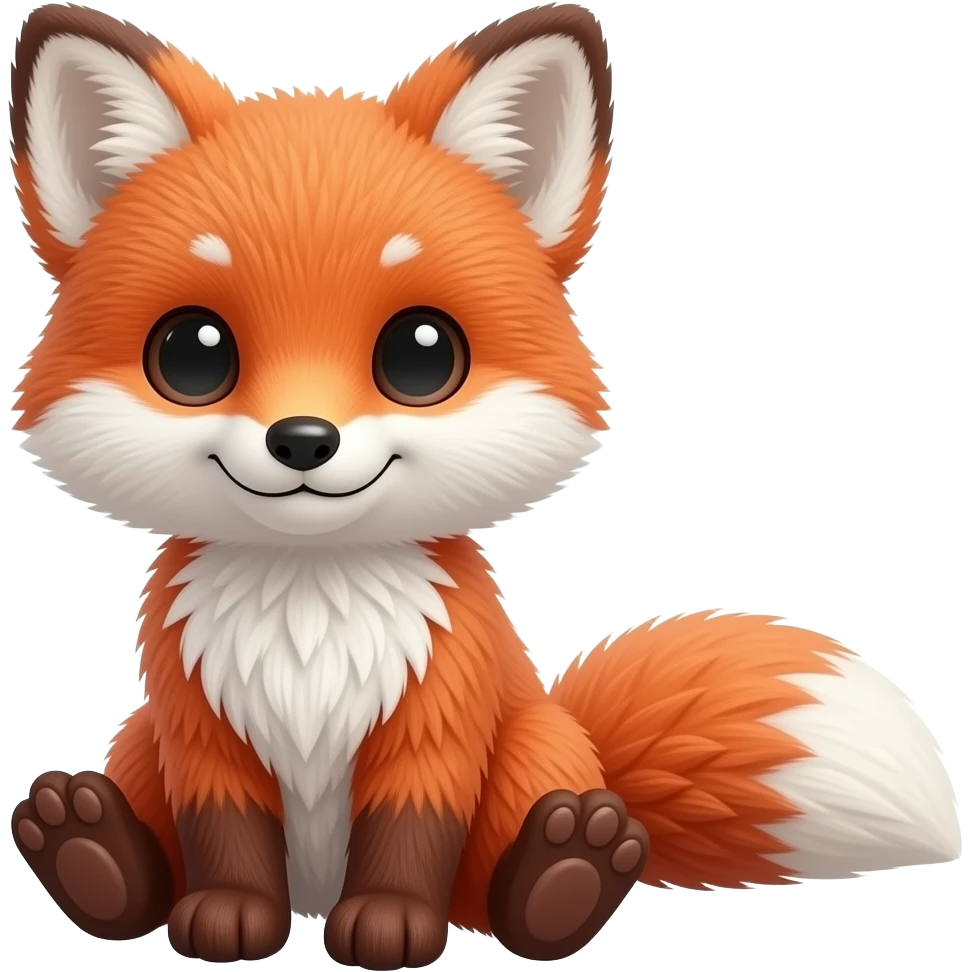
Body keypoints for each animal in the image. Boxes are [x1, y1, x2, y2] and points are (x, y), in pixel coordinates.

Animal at [8, 1, 962, 969]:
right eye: (191, 354)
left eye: (420, 354)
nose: (303, 440)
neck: (309, 611)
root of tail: (312, 893)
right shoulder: (200, 728)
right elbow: (226, 836)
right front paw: (230, 913)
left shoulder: (439, 716)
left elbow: (409, 834)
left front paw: (391, 922)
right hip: (137, 742)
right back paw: (92, 854)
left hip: (533, 748)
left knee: (503, 887)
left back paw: (563, 876)